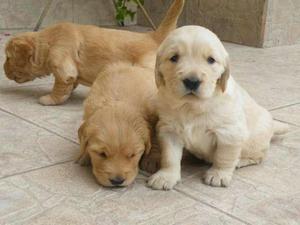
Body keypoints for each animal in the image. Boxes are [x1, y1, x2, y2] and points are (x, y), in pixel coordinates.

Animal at [3, 0, 184, 106]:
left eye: (8, 58)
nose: (3, 70)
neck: (47, 41)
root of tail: (153, 36)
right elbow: (70, 84)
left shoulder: (62, 66)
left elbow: (59, 87)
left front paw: (49, 99)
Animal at [149, 25, 290, 189]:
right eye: (174, 58)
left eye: (211, 60)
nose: (192, 81)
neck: (192, 106)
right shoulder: (169, 130)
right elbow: (169, 156)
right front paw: (166, 176)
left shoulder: (229, 133)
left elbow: (224, 156)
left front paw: (219, 175)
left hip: (254, 142)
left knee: (259, 156)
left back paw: (241, 161)